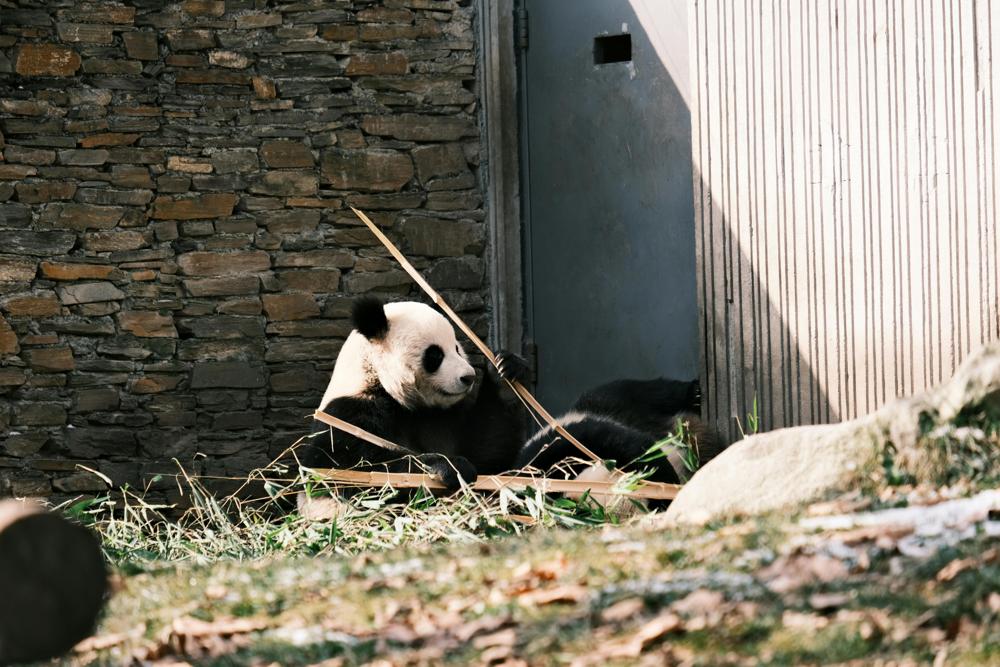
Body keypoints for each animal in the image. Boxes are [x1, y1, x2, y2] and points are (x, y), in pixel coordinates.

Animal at [301, 295, 528, 491]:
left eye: (456, 348)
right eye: (435, 355)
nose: (469, 377)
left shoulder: (446, 417)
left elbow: (488, 455)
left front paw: (505, 374)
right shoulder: (349, 412)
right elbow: (347, 471)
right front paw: (451, 466)